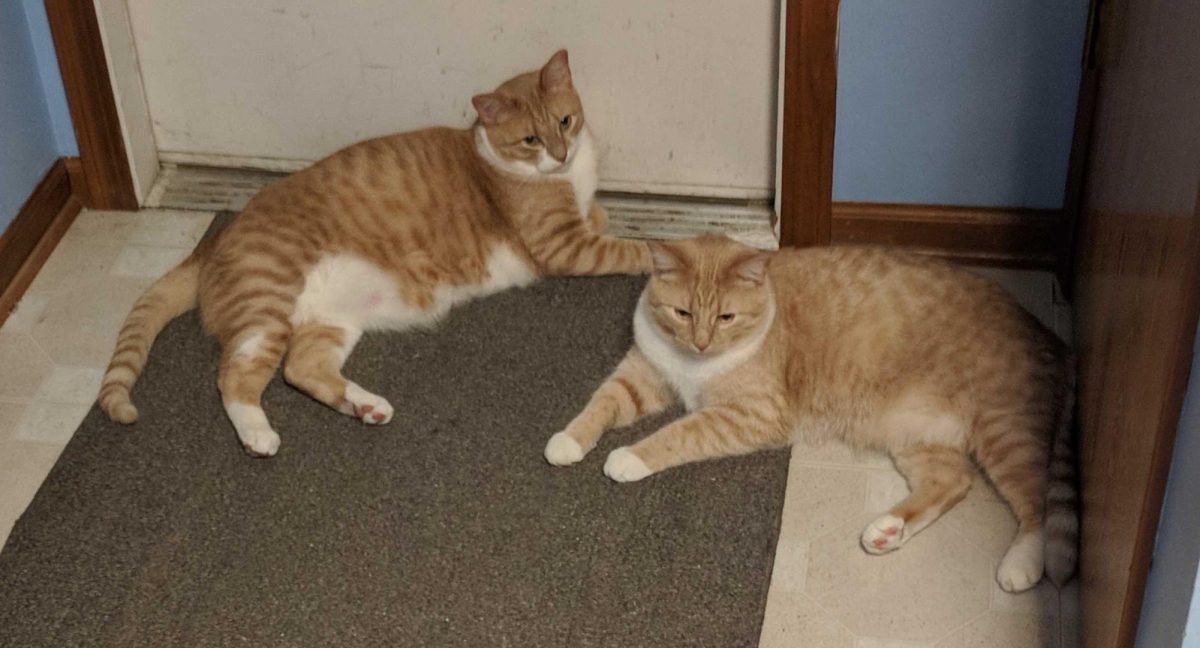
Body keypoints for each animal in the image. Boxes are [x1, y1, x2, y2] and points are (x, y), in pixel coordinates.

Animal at [98, 50, 652, 456]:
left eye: (567, 120)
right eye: (531, 139)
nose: (560, 154)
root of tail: (212, 240)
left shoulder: (581, 224)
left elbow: (604, 218)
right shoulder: (564, 246)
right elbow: (635, 248)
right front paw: (660, 250)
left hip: (328, 322)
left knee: (301, 370)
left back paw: (364, 406)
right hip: (266, 309)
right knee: (233, 378)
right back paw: (258, 434)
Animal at [547, 236, 1080, 592]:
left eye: (726, 318)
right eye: (682, 314)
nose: (700, 342)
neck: (692, 366)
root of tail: (1040, 327)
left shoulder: (751, 414)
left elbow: (680, 431)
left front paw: (629, 457)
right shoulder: (640, 375)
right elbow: (600, 403)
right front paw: (568, 440)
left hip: (1004, 430)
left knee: (1035, 500)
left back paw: (1021, 564)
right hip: (916, 437)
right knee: (954, 481)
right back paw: (888, 530)